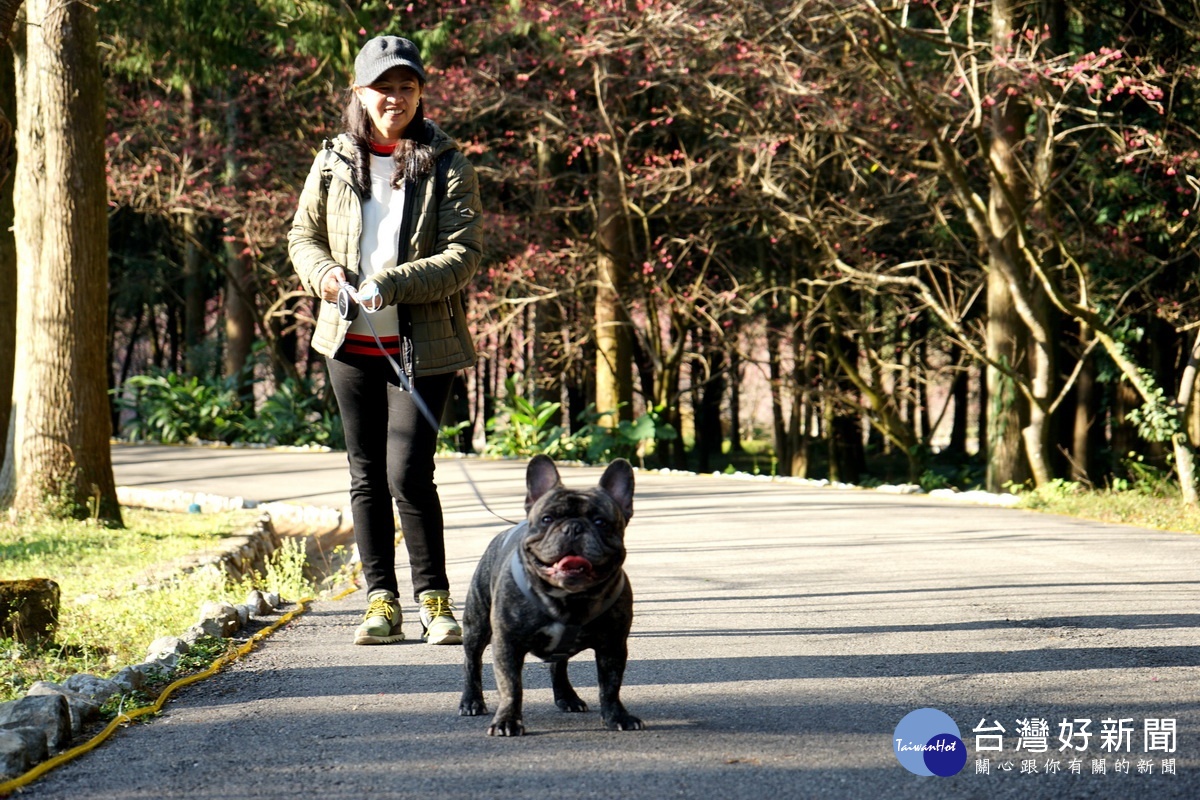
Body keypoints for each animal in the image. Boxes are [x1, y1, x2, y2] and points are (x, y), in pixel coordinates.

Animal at [458, 453, 648, 734]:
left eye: (601, 522)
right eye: (547, 519)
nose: (573, 527)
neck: (569, 598)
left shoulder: (613, 645)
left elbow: (611, 686)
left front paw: (617, 717)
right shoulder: (507, 644)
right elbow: (511, 686)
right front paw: (507, 721)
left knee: (558, 665)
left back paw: (567, 697)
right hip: (477, 625)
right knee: (472, 662)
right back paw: (471, 701)